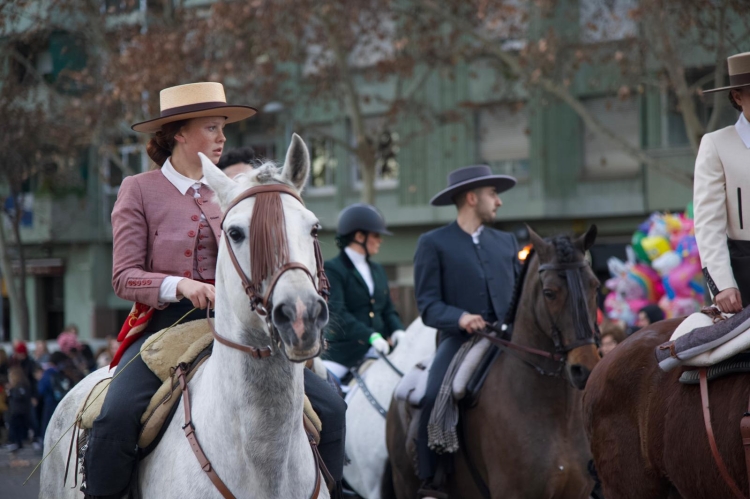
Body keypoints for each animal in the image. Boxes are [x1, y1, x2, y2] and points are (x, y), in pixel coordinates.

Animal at [388, 229, 604, 499]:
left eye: (595, 286)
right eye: (549, 292)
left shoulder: (575, 491)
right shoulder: (512, 492)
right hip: (404, 484)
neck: (558, 416)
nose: (584, 369)